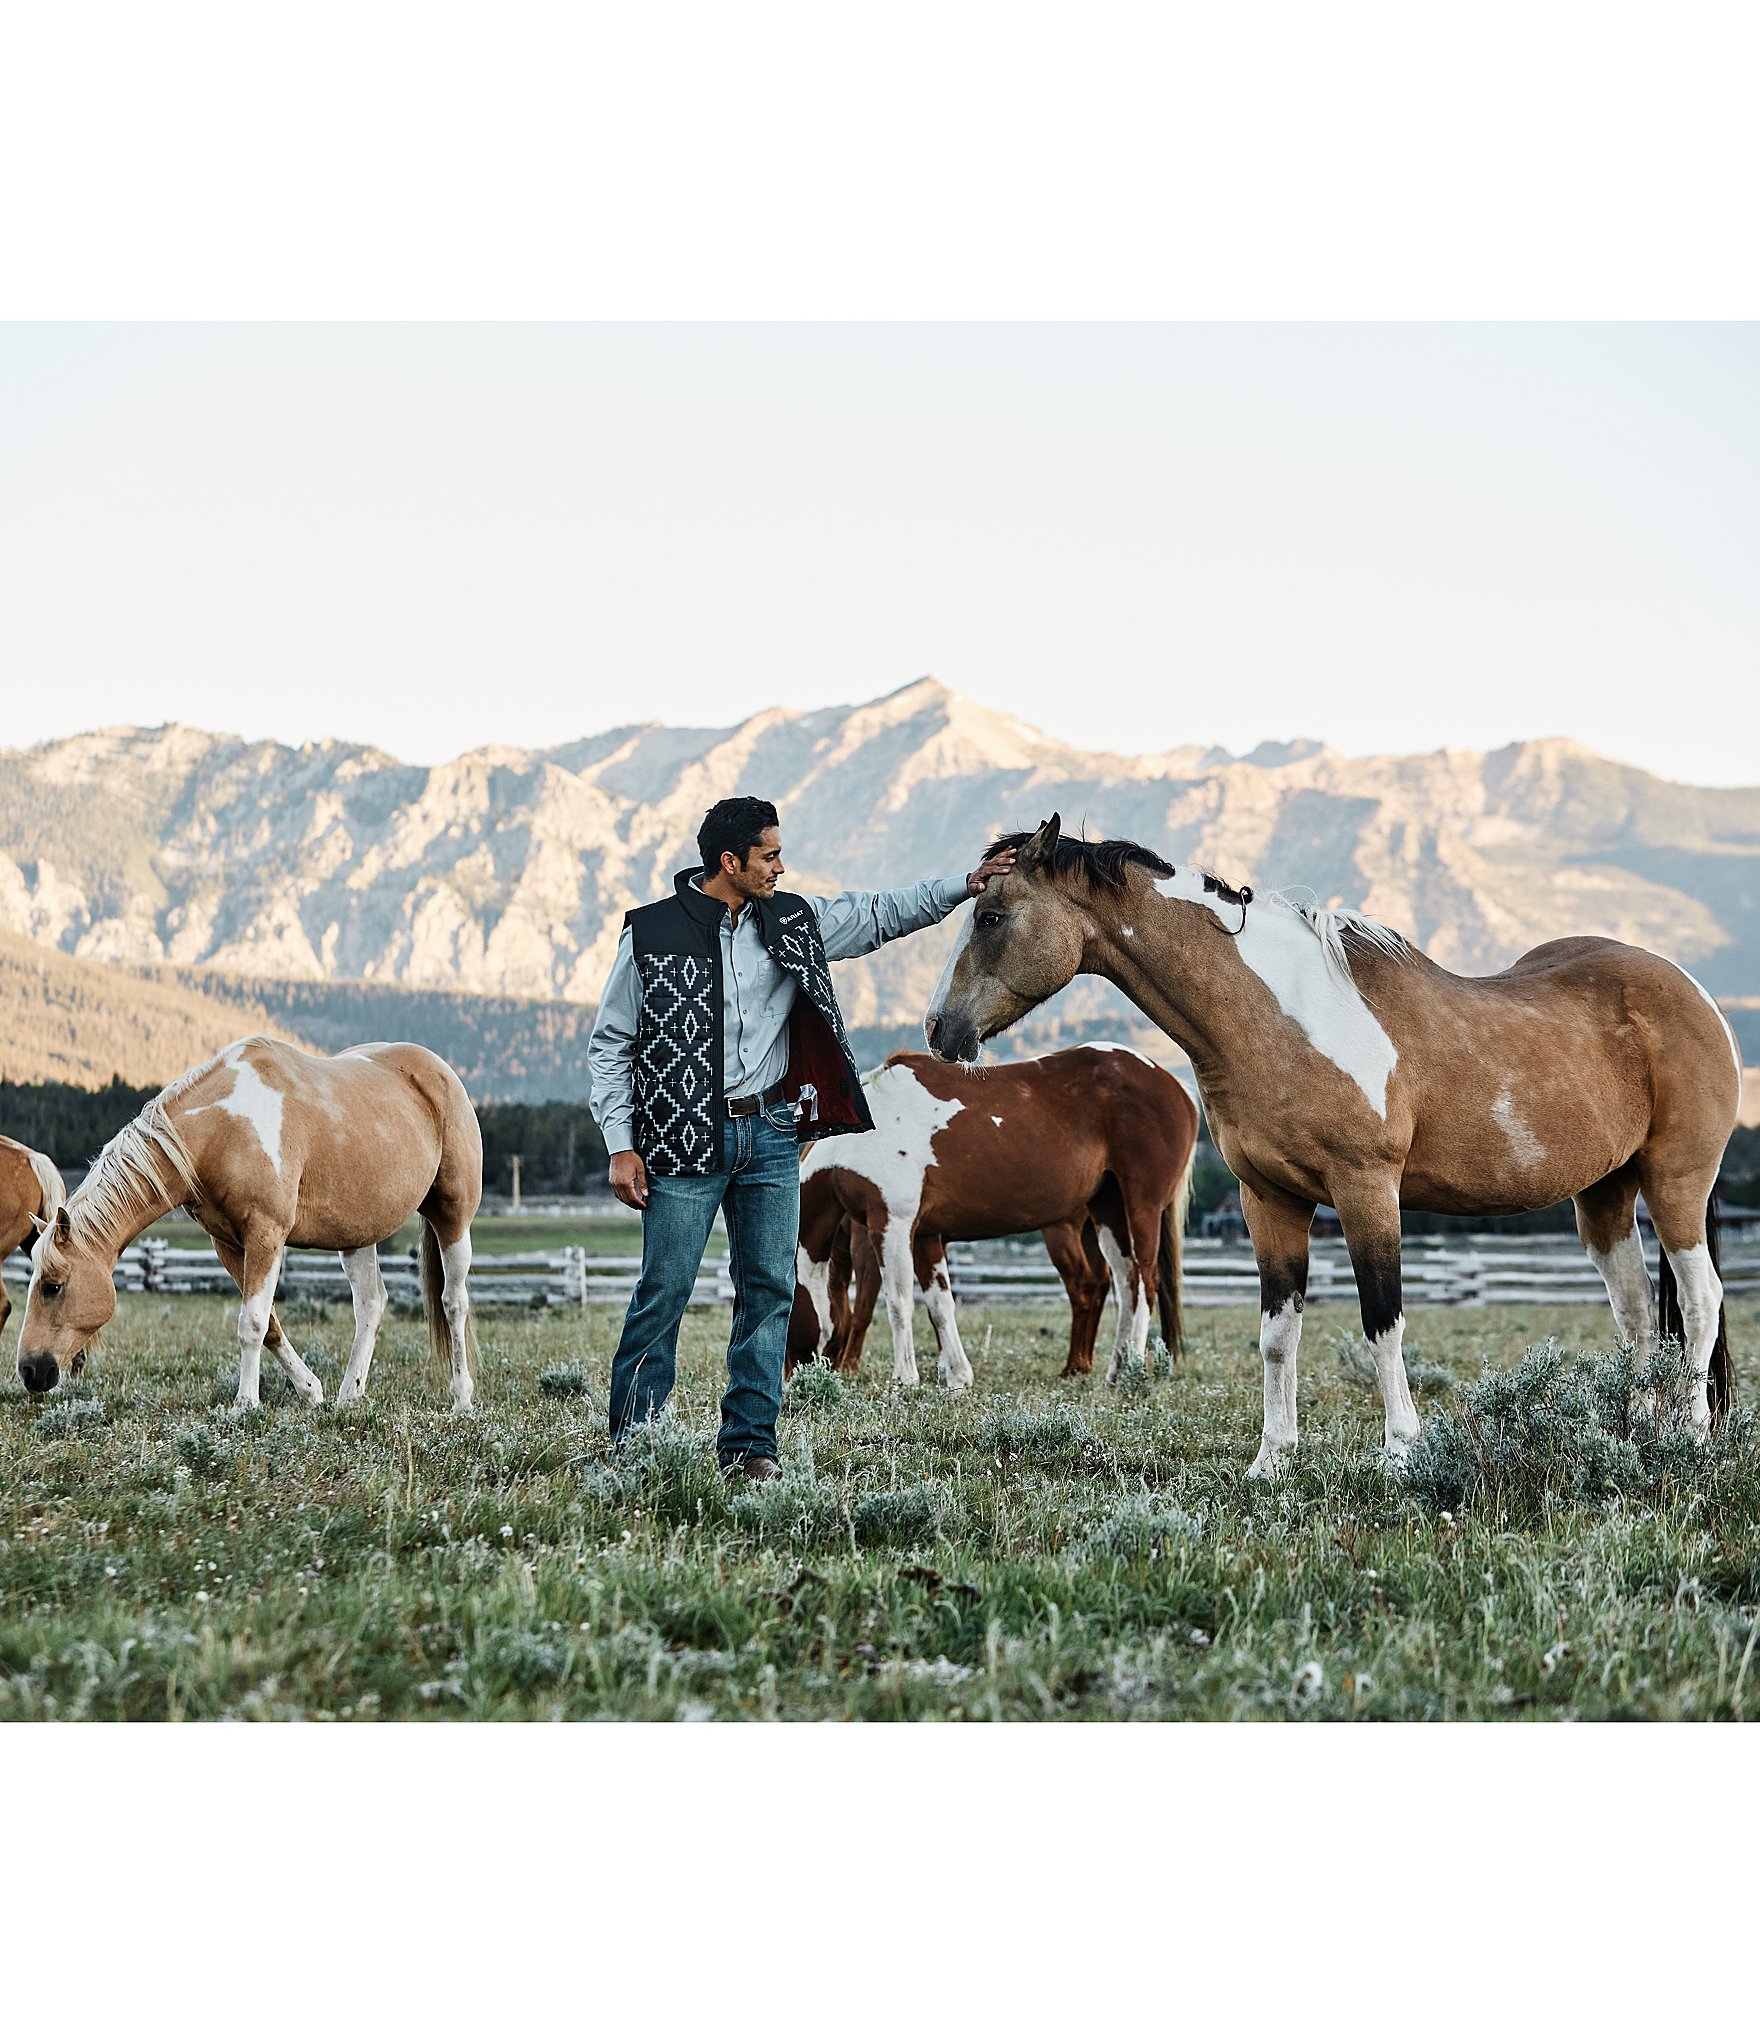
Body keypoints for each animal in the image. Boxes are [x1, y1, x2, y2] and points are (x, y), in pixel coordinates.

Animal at [17, 1044, 485, 1411]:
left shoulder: (266, 1235)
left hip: (453, 1217)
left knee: (453, 1301)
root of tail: (440, 1073)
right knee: (371, 1304)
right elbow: (270, 1322)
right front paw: (310, 1390)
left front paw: (245, 1404)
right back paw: (348, 1396)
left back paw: (462, 1398)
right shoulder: (228, 1243)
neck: (223, 1130)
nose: (29, 1370)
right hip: (357, 1236)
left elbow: (252, 1323)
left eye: (52, 1286)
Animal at [795, 1052, 1199, 1387]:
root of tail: (1178, 1089)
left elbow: (897, 1301)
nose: (790, 1378)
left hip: (1141, 1206)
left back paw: (1130, 1370)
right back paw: (1113, 1371)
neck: (860, 1140)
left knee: (1145, 1283)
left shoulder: (890, 1225)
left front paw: (904, 1379)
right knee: (1126, 1283)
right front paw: (957, 1377)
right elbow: (939, 1304)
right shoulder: (926, 1235)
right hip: (1109, 1211)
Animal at [929, 820, 1737, 1476]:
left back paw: (1690, 1436)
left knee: (1700, 1299)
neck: (1279, 1018)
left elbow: (1382, 1319)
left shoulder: (1365, 1190)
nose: (940, 1030)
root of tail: (1694, 993)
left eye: (992, 916)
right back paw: (1633, 1433)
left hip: (1675, 1182)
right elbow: (1277, 1334)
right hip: (1604, 1195)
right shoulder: (1270, 1200)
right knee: (1636, 1309)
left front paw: (1401, 1450)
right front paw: (1272, 1459)